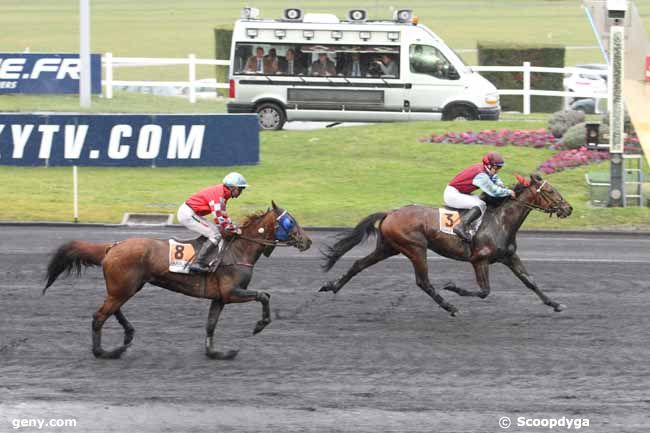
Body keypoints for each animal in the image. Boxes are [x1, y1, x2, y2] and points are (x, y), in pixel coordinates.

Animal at [43, 201, 312, 360]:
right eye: (290, 220)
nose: (308, 241)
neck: (238, 251)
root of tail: (113, 246)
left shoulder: (219, 298)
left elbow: (210, 325)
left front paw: (216, 352)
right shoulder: (231, 292)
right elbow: (264, 295)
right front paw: (260, 325)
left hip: (125, 287)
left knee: (112, 309)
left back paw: (126, 336)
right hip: (124, 288)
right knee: (100, 315)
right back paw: (104, 351)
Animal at [322, 174, 568, 316]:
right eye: (550, 191)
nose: (568, 209)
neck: (500, 220)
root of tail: (391, 212)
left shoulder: (509, 257)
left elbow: (530, 281)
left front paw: (555, 304)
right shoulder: (479, 260)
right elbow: (484, 291)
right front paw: (452, 287)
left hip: (388, 248)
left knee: (359, 264)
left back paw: (332, 286)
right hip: (415, 249)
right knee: (423, 282)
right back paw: (450, 306)